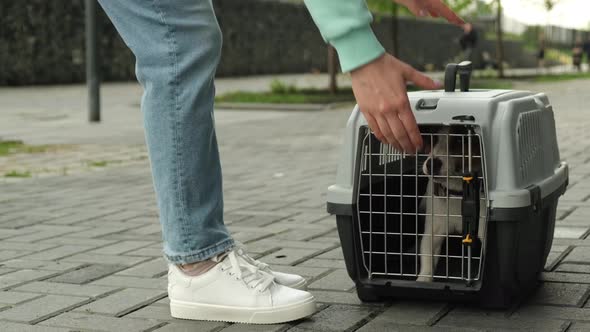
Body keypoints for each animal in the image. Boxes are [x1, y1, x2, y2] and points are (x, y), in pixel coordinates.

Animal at [330, 61, 572, 308]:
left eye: (458, 141)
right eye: (432, 139)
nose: (432, 164)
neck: (456, 195)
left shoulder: (482, 231)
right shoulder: (432, 233)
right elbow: (427, 261)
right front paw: (423, 282)